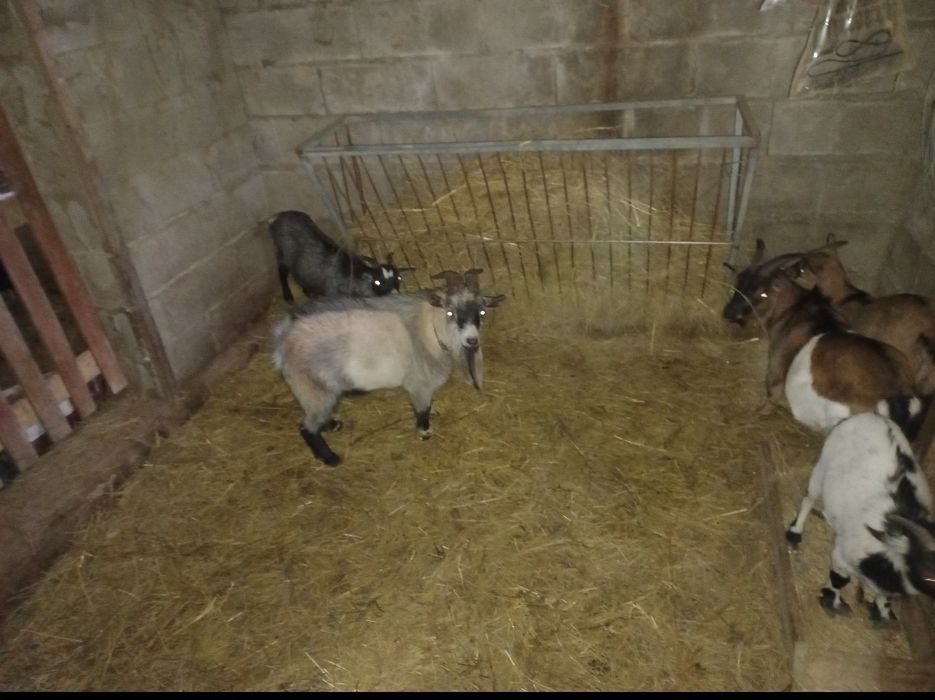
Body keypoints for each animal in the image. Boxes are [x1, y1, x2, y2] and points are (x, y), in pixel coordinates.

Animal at [269, 210, 412, 303]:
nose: (394, 294)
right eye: (377, 282)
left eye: (399, 278)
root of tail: (278, 216)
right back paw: (288, 296)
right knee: (282, 271)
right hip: (283, 253)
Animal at [272, 269, 505, 466]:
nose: (472, 340)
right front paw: (424, 432)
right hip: (311, 386)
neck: (429, 331)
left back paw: (332, 425)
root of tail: (282, 339)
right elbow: (422, 410)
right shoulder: (418, 383)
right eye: (450, 313)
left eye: (482, 312)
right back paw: (330, 458)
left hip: (321, 389)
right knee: (306, 428)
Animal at [740, 265, 920, 434]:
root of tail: (896, 394)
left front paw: (759, 413)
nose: (736, 315)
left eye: (763, 294)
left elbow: (773, 390)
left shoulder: (777, 358)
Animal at [785, 412, 935, 622]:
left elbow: (886, 596)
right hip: (822, 465)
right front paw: (832, 600)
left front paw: (883, 612)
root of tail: (870, 415)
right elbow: (840, 579)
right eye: (929, 571)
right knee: (809, 498)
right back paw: (795, 532)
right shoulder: (842, 555)